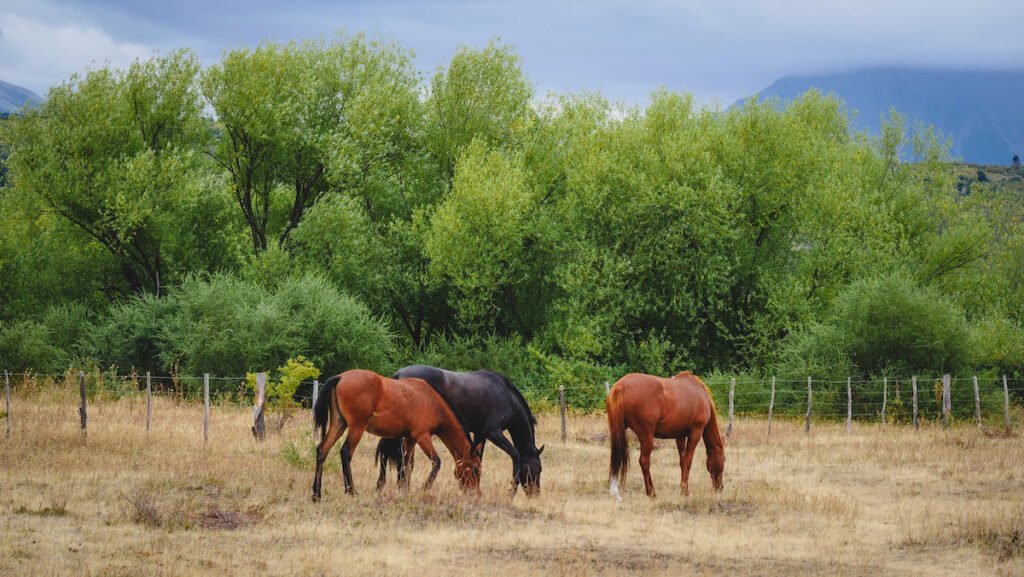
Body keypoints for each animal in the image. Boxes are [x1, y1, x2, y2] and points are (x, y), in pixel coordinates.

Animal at [309, 371, 481, 502]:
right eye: (475, 469)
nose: (476, 493)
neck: (431, 401)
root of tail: (341, 377)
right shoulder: (422, 436)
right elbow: (436, 462)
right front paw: (423, 488)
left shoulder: (410, 439)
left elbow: (406, 464)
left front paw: (403, 489)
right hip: (356, 427)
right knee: (346, 452)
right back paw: (351, 491)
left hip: (338, 425)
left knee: (322, 450)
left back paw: (316, 494)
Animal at [376, 364, 544, 496]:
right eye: (538, 469)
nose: (535, 494)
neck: (506, 397)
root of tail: (398, 375)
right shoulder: (493, 433)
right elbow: (515, 455)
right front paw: (511, 491)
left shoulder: (480, 434)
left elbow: (478, 458)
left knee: (390, 453)